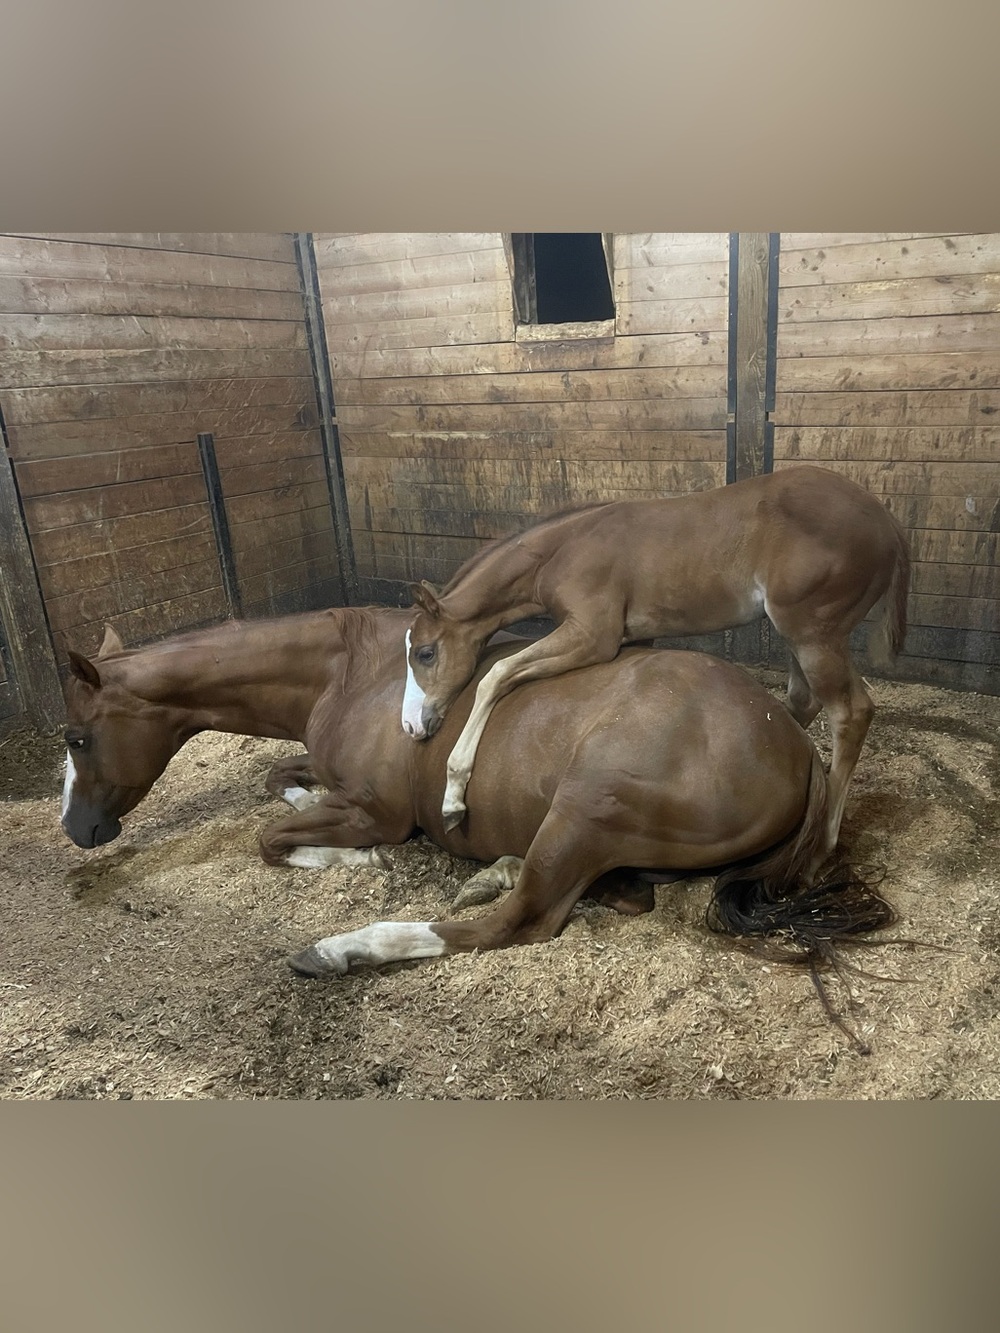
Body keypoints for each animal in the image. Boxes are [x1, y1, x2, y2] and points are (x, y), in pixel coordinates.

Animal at [59, 607, 892, 985]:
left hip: (584, 811)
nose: (74, 828)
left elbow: (271, 838)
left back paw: (344, 947)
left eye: (75, 737)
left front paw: (352, 859)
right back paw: (495, 869)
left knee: (515, 920)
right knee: (615, 893)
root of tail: (799, 750)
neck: (350, 673)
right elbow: (277, 783)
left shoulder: (379, 809)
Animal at [403, 464, 911, 858]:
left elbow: (496, 674)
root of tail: (886, 519)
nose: (412, 725)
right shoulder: (635, 636)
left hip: (814, 635)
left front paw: (454, 794)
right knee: (803, 702)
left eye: (425, 652)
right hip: (798, 637)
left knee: (852, 712)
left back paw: (824, 842)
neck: (562, 551)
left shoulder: (593, 635)